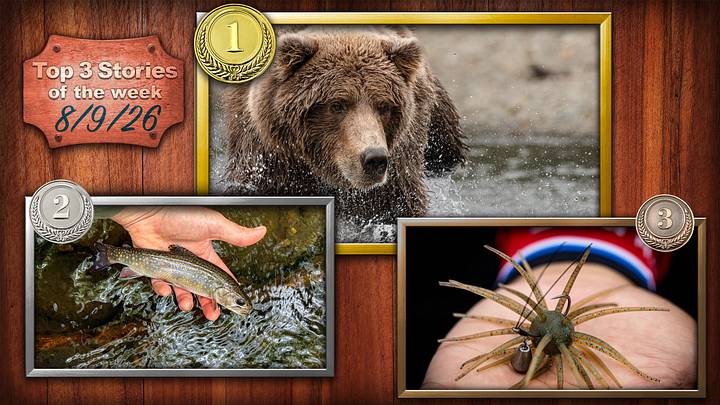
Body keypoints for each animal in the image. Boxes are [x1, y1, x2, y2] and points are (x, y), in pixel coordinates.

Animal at [223, 26, 466, 226]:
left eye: (384, 106)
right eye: (337, 105)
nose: (374, 158)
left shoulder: (396, 168)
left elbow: (395, 206)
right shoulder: (269, 157)